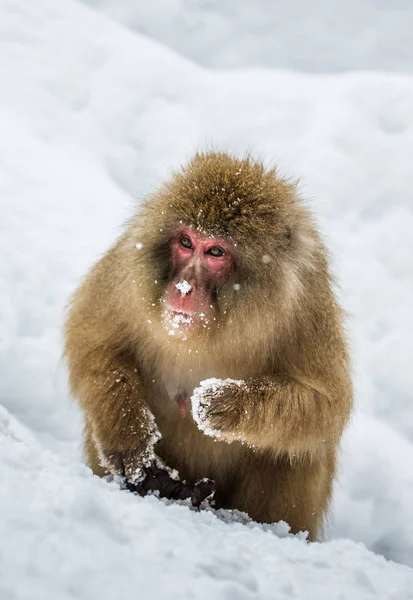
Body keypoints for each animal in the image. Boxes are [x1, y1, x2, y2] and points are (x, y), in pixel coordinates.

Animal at [63, 150, 350, 540]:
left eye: (215, 251)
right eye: (186, 243)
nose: (184, 287)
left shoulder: (307, 305)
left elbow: (327, 406)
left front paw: (231, 405)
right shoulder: (126, 275)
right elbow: (93, 340)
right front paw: (129, 436)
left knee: (298, 450)